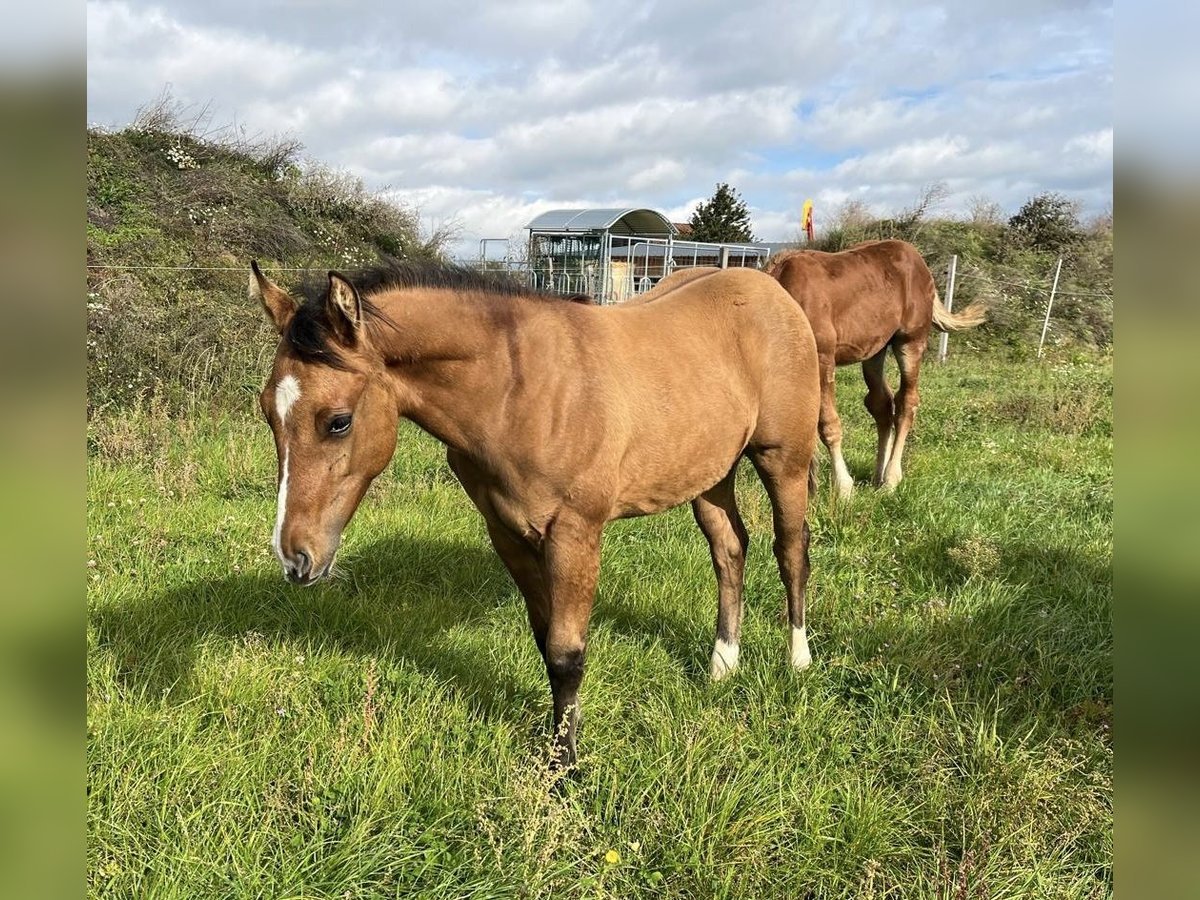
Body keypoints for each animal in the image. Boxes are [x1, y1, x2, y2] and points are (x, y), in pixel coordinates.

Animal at [248, 260, 820, 768]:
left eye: (338, 421)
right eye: (268, 412)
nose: (296, 558)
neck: (518, 390)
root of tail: (773, 290)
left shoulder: (574, 534)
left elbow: (568, 653)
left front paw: (565, 766)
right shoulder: (508, 534)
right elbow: (546, 643)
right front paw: (562, 737)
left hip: (784, 461)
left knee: (791, 549)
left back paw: (798, 660)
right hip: (710, 474)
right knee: (730, 550)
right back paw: (723, 665)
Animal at [768, 240, 984, 501]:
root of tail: (921, 263)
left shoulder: (823, 360)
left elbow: (828, 424)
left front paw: (843, 488)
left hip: (910, 341)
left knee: (906, 402)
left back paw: (891, 480)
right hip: (875, 351)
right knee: (882, 404)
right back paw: (877, 477)